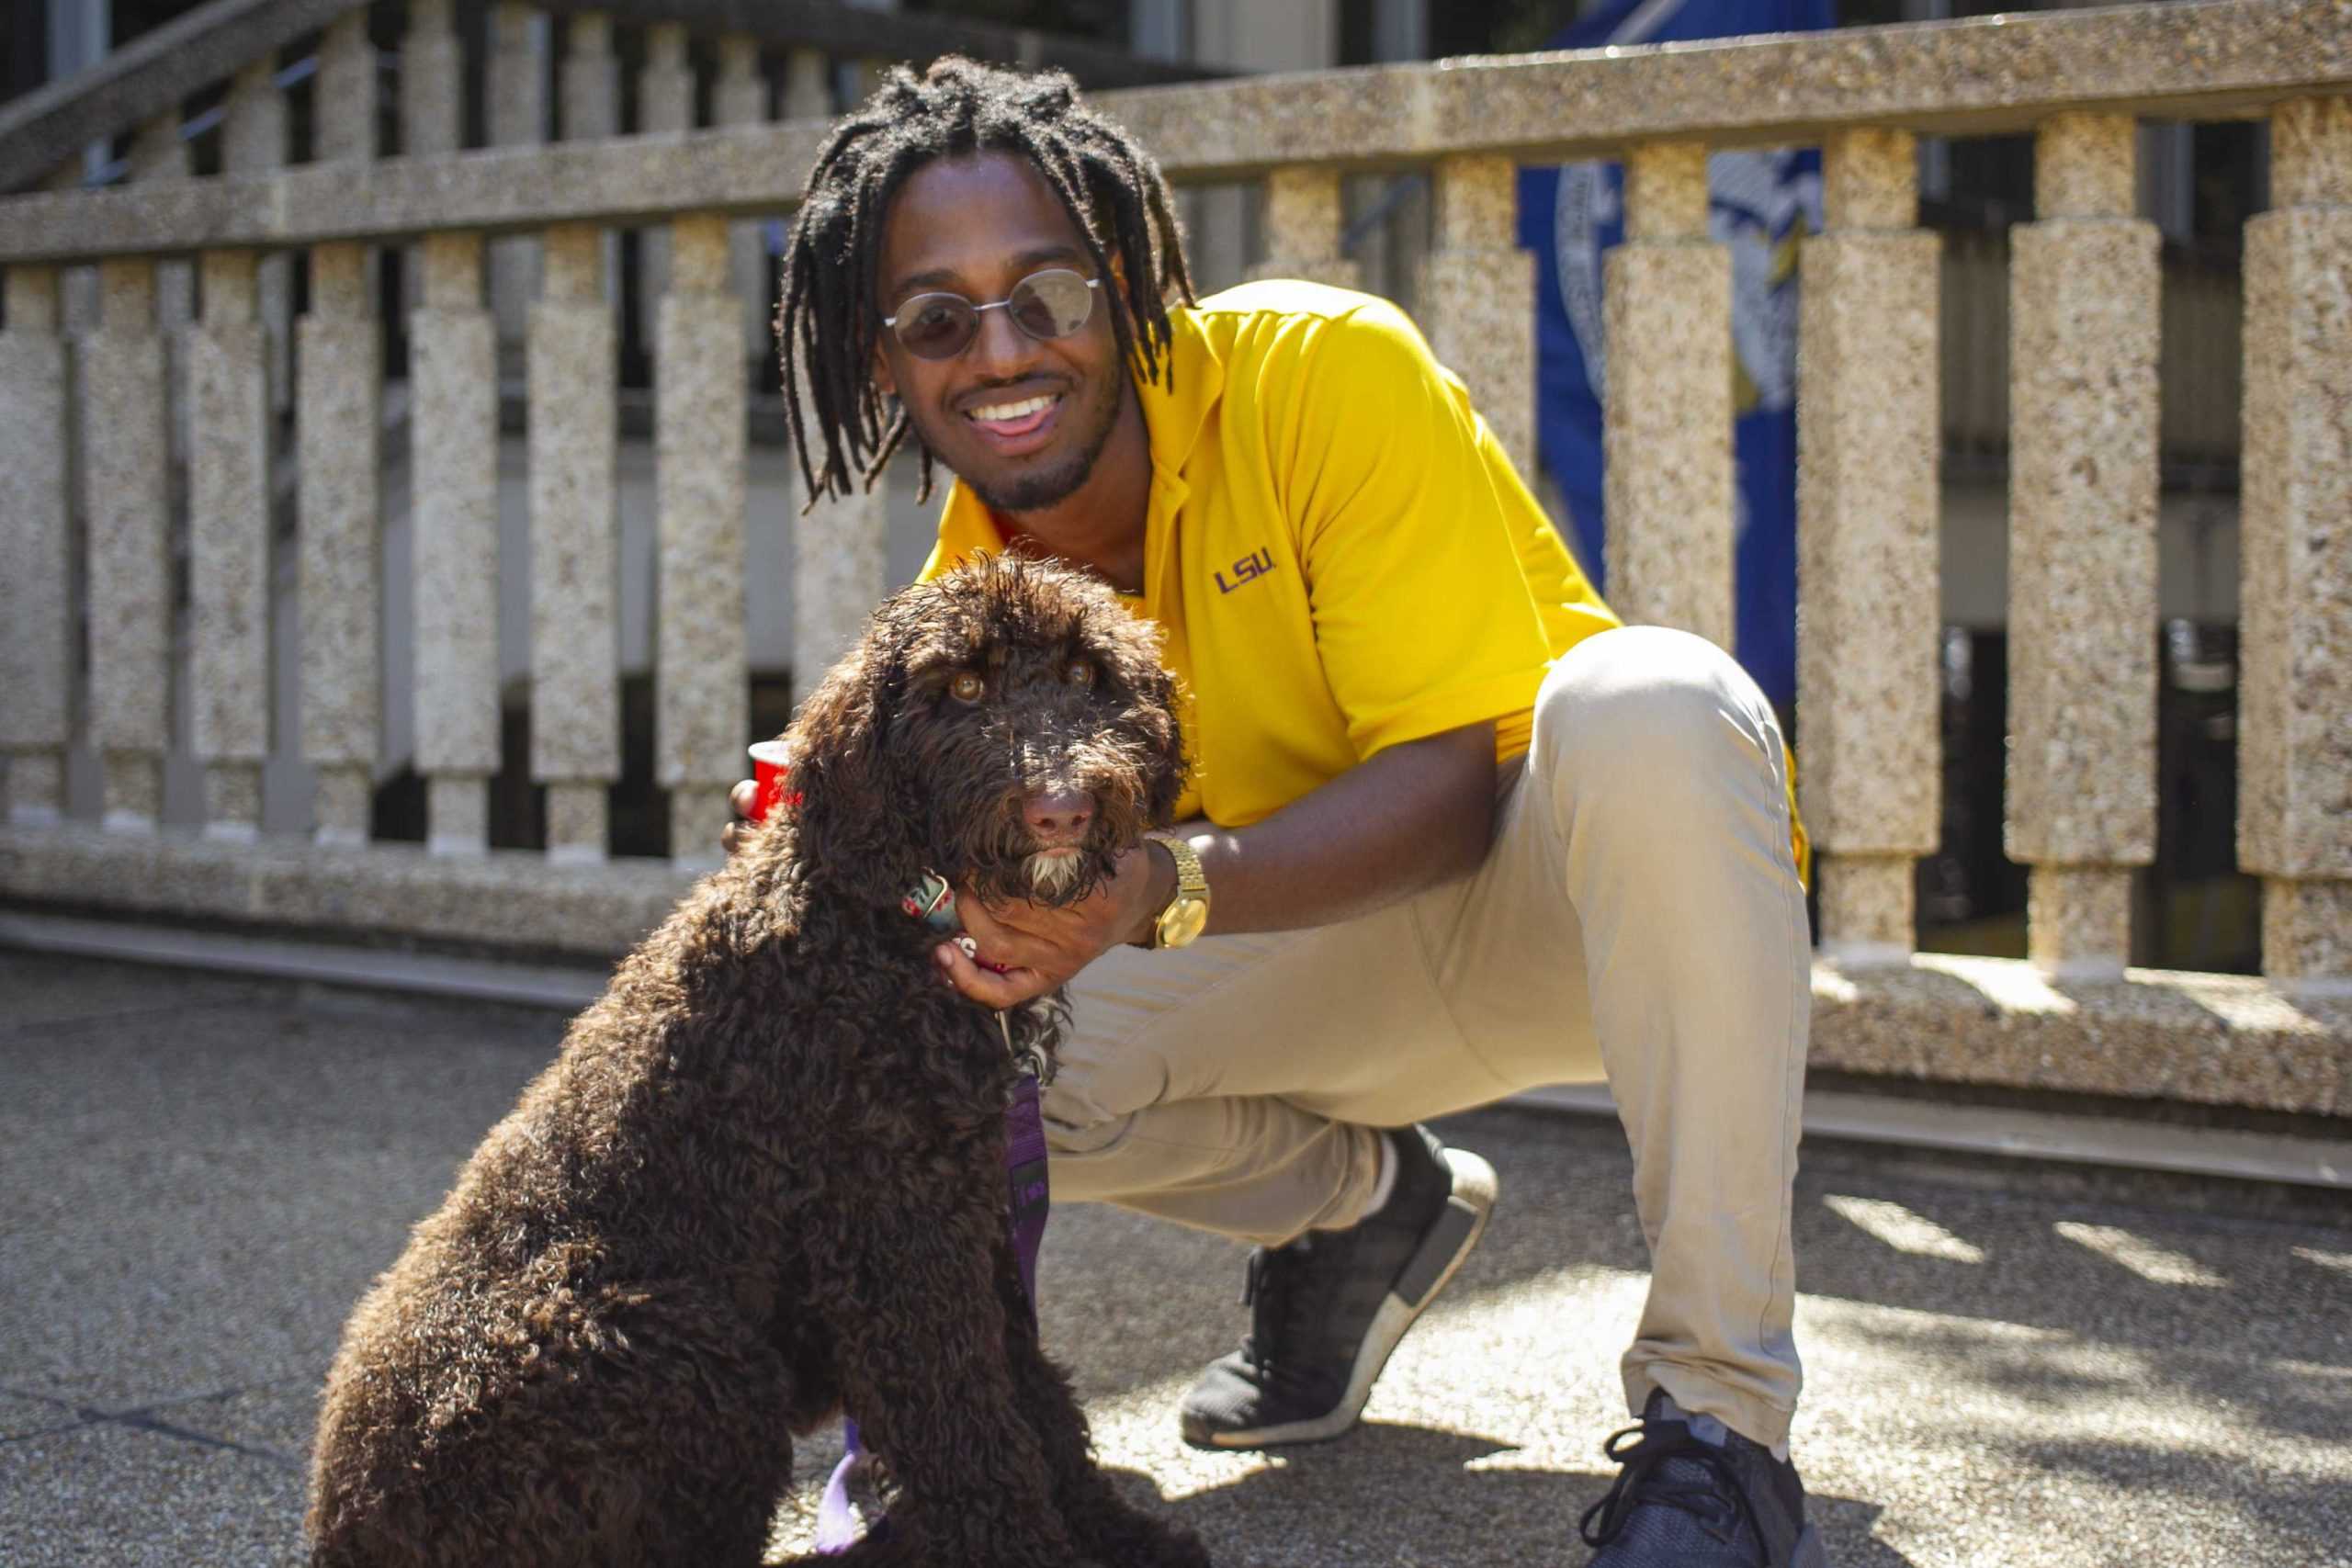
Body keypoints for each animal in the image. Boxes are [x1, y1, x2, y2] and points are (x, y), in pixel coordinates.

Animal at [303, 557, 1204, 1568]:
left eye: (1089, 675)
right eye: (964, 687)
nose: (1061, 806)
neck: (880, 927)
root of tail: (344, 1527)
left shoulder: (964, 1207)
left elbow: (1032, 1393)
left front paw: (1118, 1534)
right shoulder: (896, 1231)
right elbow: (964, 1418)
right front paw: (1023, 1547)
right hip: (694, 1361)